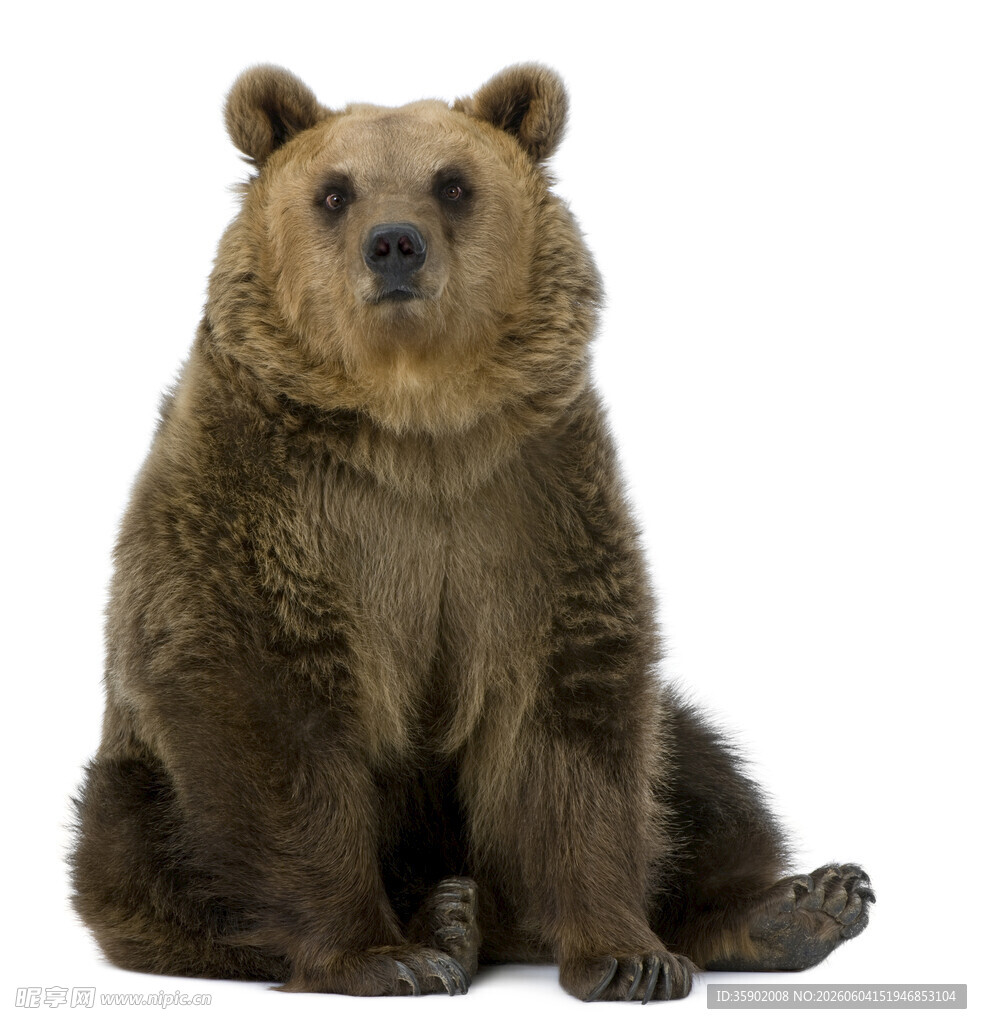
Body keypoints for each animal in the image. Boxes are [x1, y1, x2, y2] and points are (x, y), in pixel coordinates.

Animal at [70, 64, 873, 1002]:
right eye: (334, 192)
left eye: (452, 184)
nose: (394, 244)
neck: (417, 424)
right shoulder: (263, 503)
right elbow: (269, 715)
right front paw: (381, 955)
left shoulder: (530, 505)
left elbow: (577, 723)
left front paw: (629, 955)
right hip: (138, 787)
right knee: (146, 850)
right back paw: (444, 918)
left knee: (697, 767)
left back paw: (798, 907)